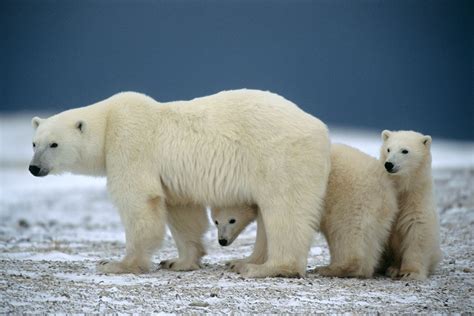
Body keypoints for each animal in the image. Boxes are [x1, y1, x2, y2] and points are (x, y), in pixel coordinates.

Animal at [29, 89, 332, 276]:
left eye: (54, 144)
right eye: (34, 143)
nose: (34, 168)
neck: (108, 122)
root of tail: (320, 128)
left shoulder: (130, 143)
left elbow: (139, 201)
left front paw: (117, 264)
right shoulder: (172, 180)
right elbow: (182, 212)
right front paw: (179, 261)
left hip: (280, 158)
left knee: (284, 210)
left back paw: (264, 267)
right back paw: (242, 261)